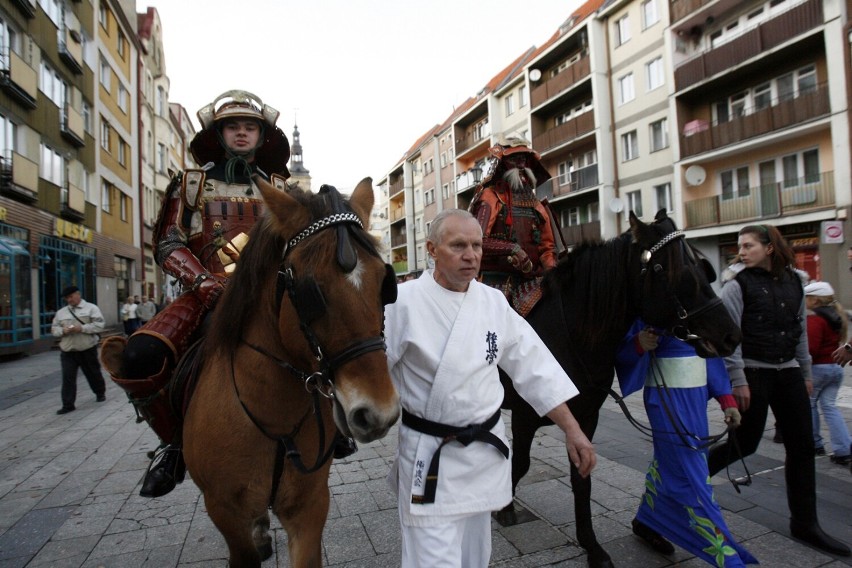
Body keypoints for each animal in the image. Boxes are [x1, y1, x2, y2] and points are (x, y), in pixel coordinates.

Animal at [182, 179, 400, 568]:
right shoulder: (223, 511)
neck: (272, 416)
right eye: (312, 290)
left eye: (383, 284)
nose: (379, 413)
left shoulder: (309, 505)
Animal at [496, 211, 744, 568]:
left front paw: (592, 546)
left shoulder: (586, 416)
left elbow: (581, 478)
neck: (571, 333)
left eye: (703, 268)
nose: (730, 335)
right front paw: (503, 508)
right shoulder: (525, 414)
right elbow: (521, 463)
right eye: (678, 272)